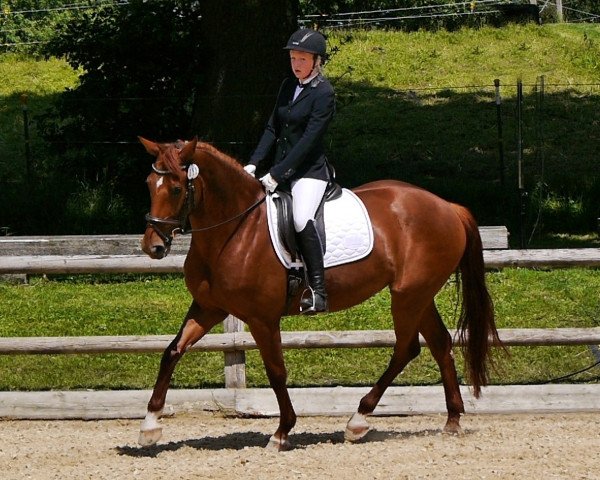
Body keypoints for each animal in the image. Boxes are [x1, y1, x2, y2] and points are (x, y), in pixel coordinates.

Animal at [138, 138, 500, 450]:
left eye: (175, 188)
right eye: (148, 183)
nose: (152, 247)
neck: (236, 229)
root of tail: (447, 206)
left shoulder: (262, 318)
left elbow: (276, 371)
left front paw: (282, 432)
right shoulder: (208, 307)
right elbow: (171, 352)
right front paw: (150, 425)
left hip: (408, 295)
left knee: (406, 349)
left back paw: (358, 420)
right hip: (418, 295)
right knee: (439, 343)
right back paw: (452, 420)